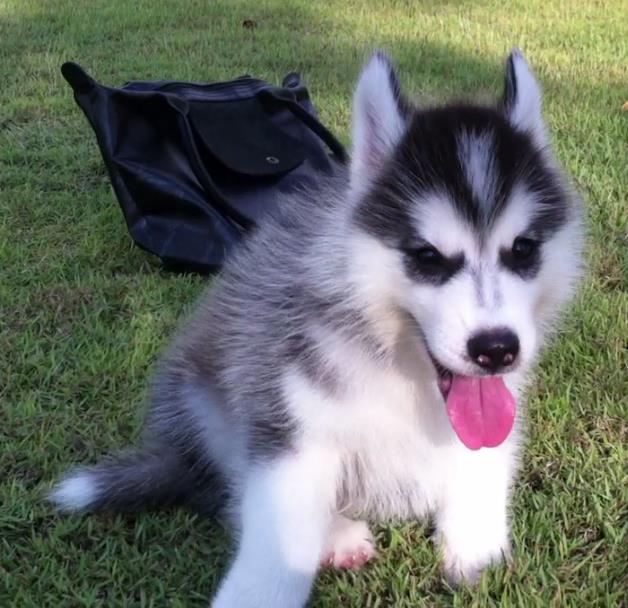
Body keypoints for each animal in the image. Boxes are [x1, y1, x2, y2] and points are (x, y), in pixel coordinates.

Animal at [50, 50, 583, 606]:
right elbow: (274, 540)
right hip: (208, 401)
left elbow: (483, 464)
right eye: (427, 256)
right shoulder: (289, 424)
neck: (400, 367)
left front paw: (477, 551)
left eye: (522, 249)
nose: (495, 349)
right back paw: (336, 533)